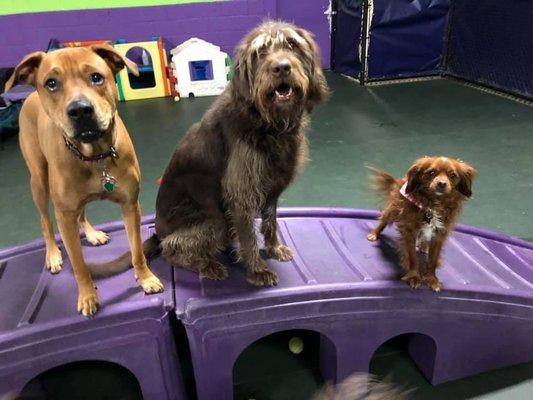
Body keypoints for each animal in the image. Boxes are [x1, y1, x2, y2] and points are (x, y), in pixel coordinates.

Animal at [6, 46, 162, 316]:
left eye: (96, 77)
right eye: (51, 83)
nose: (80, 109)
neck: (94, 156)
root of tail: (29, 97)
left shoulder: (130, 205)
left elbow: (137, 251)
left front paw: (145, 278)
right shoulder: (64, 216)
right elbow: (79, 264)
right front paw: (88, 296)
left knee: (82, 212)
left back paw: (91, 234)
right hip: (39, 181)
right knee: (45, 221)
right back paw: (52, 254)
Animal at [366, 156, 474, 290]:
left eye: (453, 175)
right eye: (431, 172)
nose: (442, 183)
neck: (433, 206)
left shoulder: (439, 235)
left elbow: (433, 260)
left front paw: (432, 279)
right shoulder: (410, 231)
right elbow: (413, 257)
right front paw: (414, 276)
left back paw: (424, 247)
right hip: (392, 211)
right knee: (383, 221)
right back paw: (374, 234)